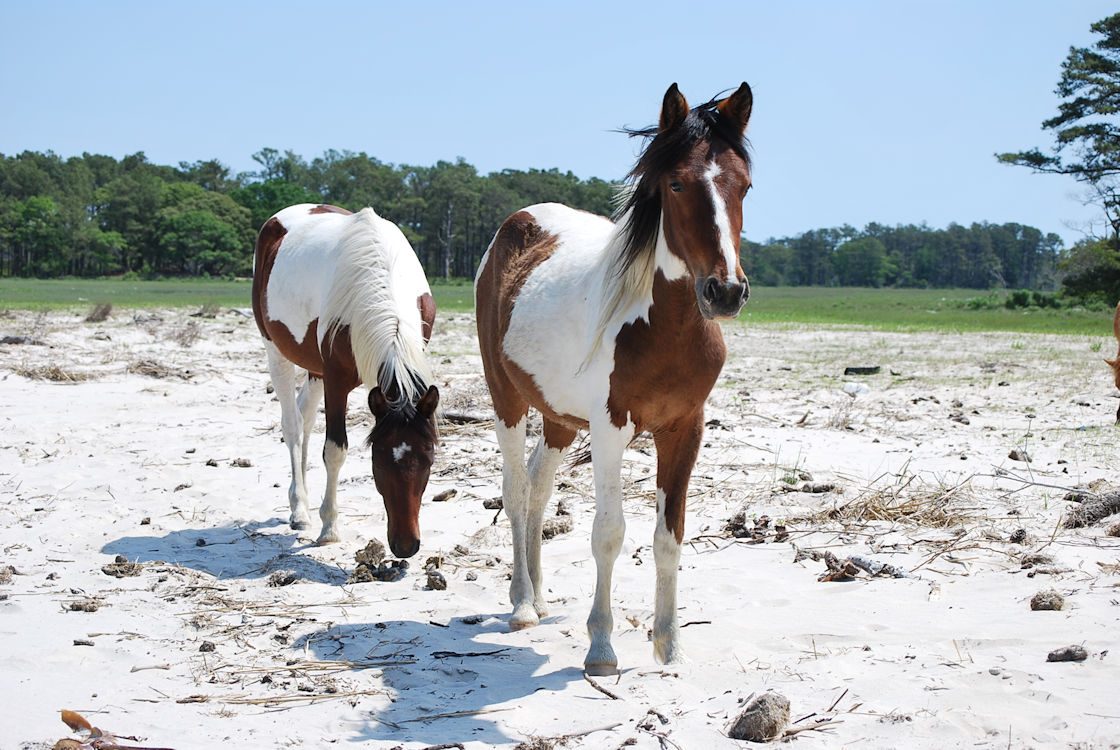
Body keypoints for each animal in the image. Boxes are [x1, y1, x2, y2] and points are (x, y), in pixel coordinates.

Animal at [252, 203, 439, 557]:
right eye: (378, 462)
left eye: (428, 461)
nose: (406, 546)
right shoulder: (336, 381)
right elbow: (335, 450)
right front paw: (329, 527)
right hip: (276, 351)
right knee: (292, 425)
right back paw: (300, 510)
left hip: (314, 369)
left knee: (305, 417)